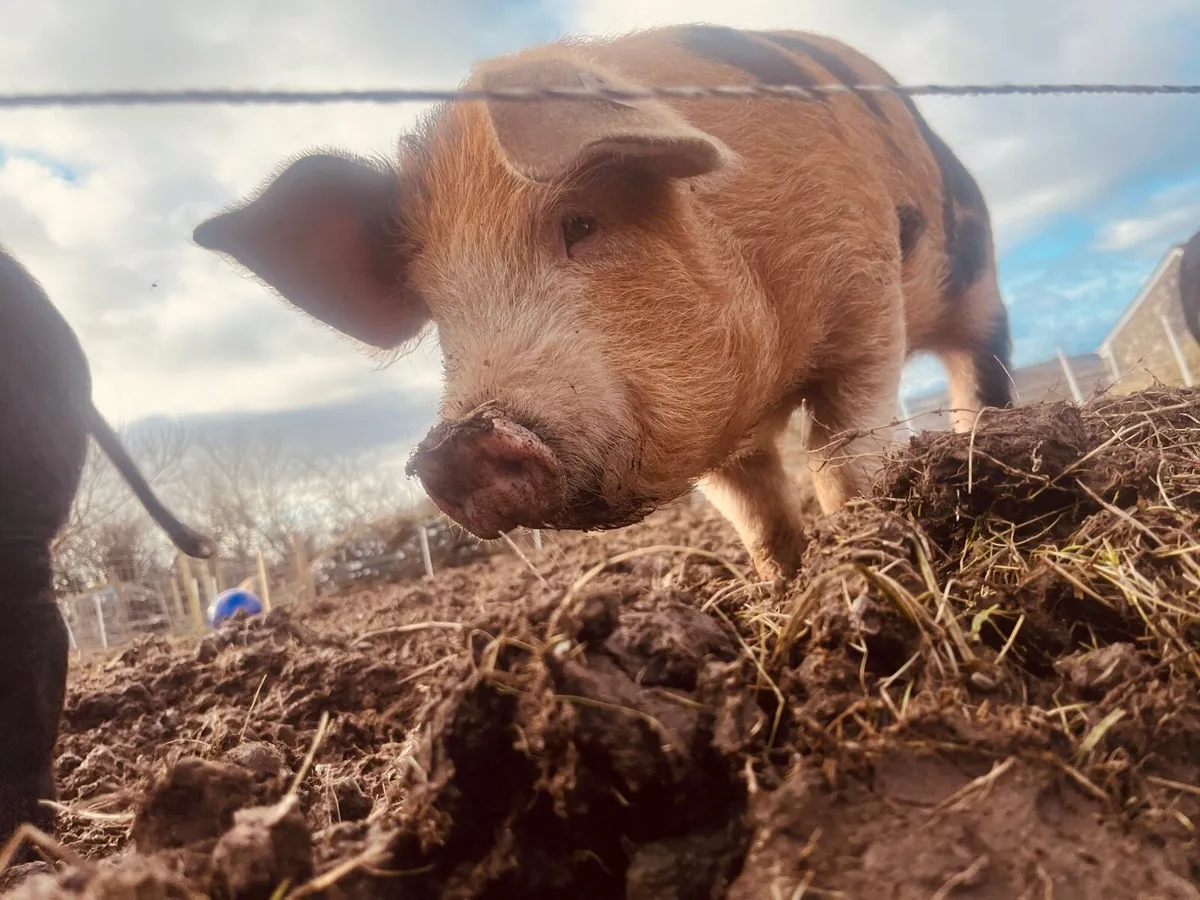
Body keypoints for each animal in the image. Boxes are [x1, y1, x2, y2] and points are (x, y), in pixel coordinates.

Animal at [192, 24, 1012, 581]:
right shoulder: (714, 443)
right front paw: (779, 591)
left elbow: (843, 460)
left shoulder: (865, 307)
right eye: (436, 302)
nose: (458, 443)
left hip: (977, 281)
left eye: (580, 223)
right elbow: (757, 517)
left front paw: (863, 557)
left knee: (980, 370)